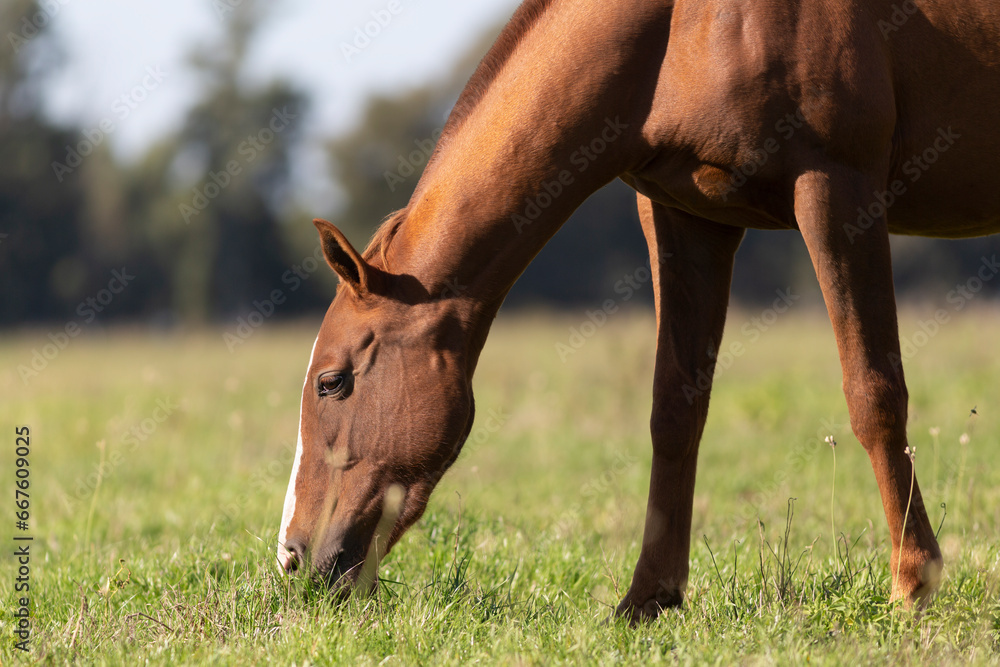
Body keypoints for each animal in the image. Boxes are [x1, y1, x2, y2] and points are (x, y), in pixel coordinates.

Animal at [277, 0, 1000, 622]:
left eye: (332, 381)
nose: (292, 556)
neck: (685, 28)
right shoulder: (685, 216)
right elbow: (675, 410)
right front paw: (648, 597)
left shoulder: (836, 188)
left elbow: (873, 394)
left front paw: (913, 582)